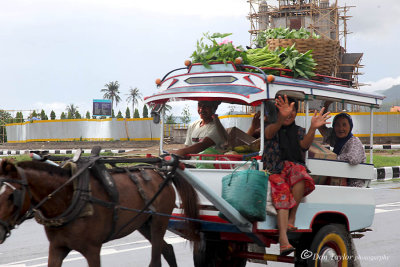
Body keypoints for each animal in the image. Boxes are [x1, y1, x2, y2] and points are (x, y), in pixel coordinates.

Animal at [0, 159, 200, 267]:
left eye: (12, 196)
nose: (0, 231)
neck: (71, 197)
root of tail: (162, 173)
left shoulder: (93, 249)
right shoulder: (57, 247)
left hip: (159, 222)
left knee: (156, 259)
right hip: (144, 224)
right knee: (167, 250)